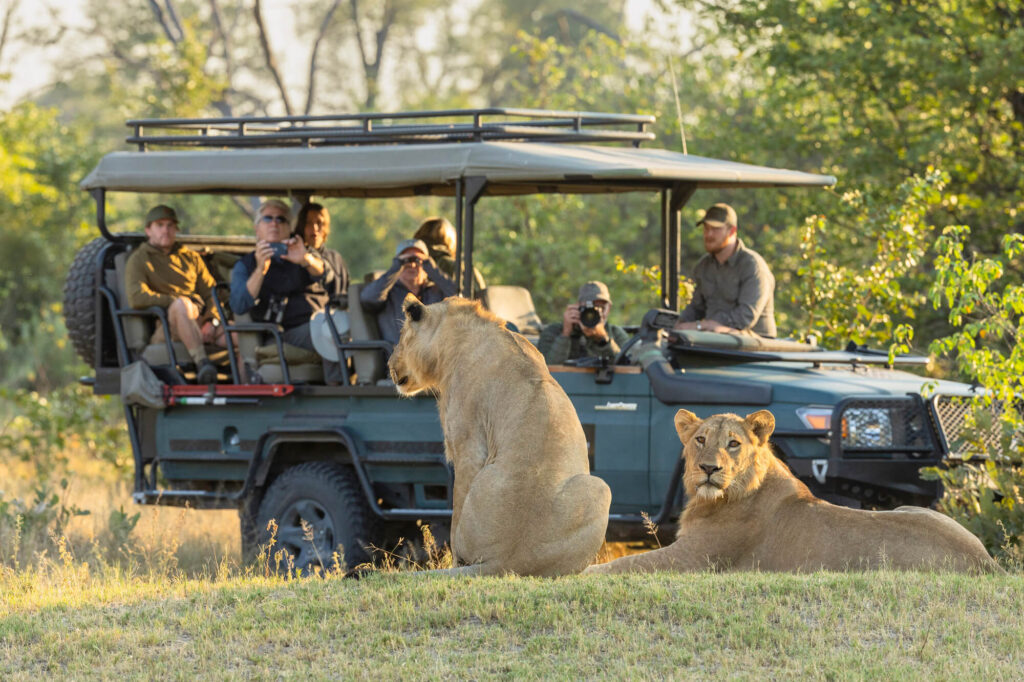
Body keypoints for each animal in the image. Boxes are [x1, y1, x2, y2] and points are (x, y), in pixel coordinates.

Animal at [385, 296, 606, 573]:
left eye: (402, 335)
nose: (389, 365)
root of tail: (507, 561)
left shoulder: (467, 444)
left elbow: (455, 512)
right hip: (600, 488)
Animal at [589, 409, 995, 573]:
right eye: (700, 440)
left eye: (733, 443)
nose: (708, 469)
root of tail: (986, 562)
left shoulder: (693, 559)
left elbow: (623, 565)